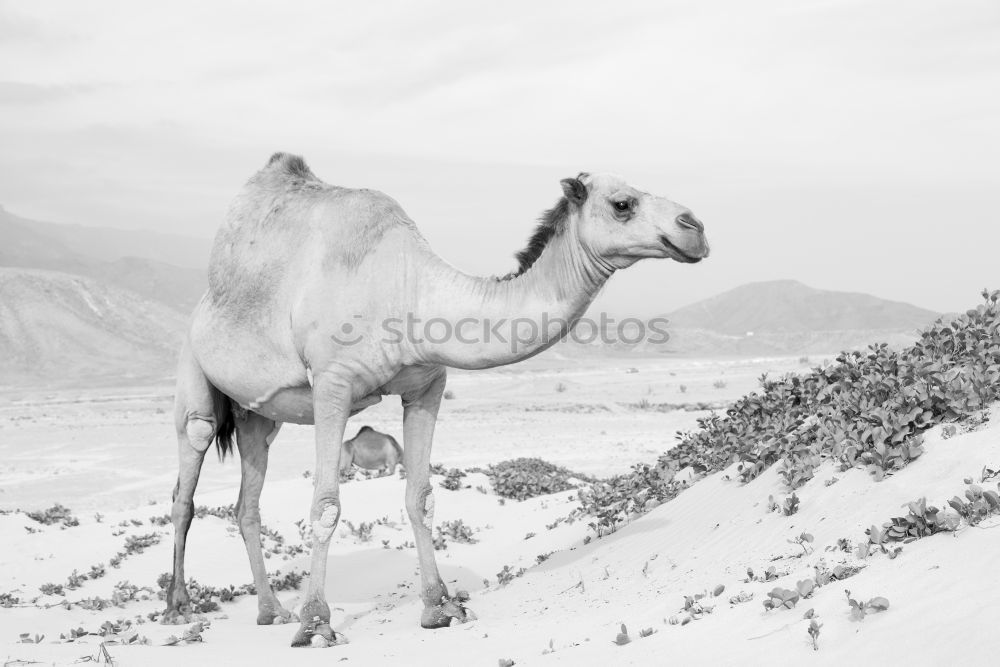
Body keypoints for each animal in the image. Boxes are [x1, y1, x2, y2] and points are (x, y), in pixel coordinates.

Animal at [164, 153, 708, 648]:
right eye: (623, 203)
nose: (696, 227)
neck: (412, 294)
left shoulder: (426, 385)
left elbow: (421, 497)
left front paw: (440, 607)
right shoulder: (332, 384)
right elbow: (326, 505)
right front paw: (316, 624)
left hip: (256, 413)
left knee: (247, 501)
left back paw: (269, 610)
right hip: (193, 368)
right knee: (187, 481)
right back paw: (180, 607)